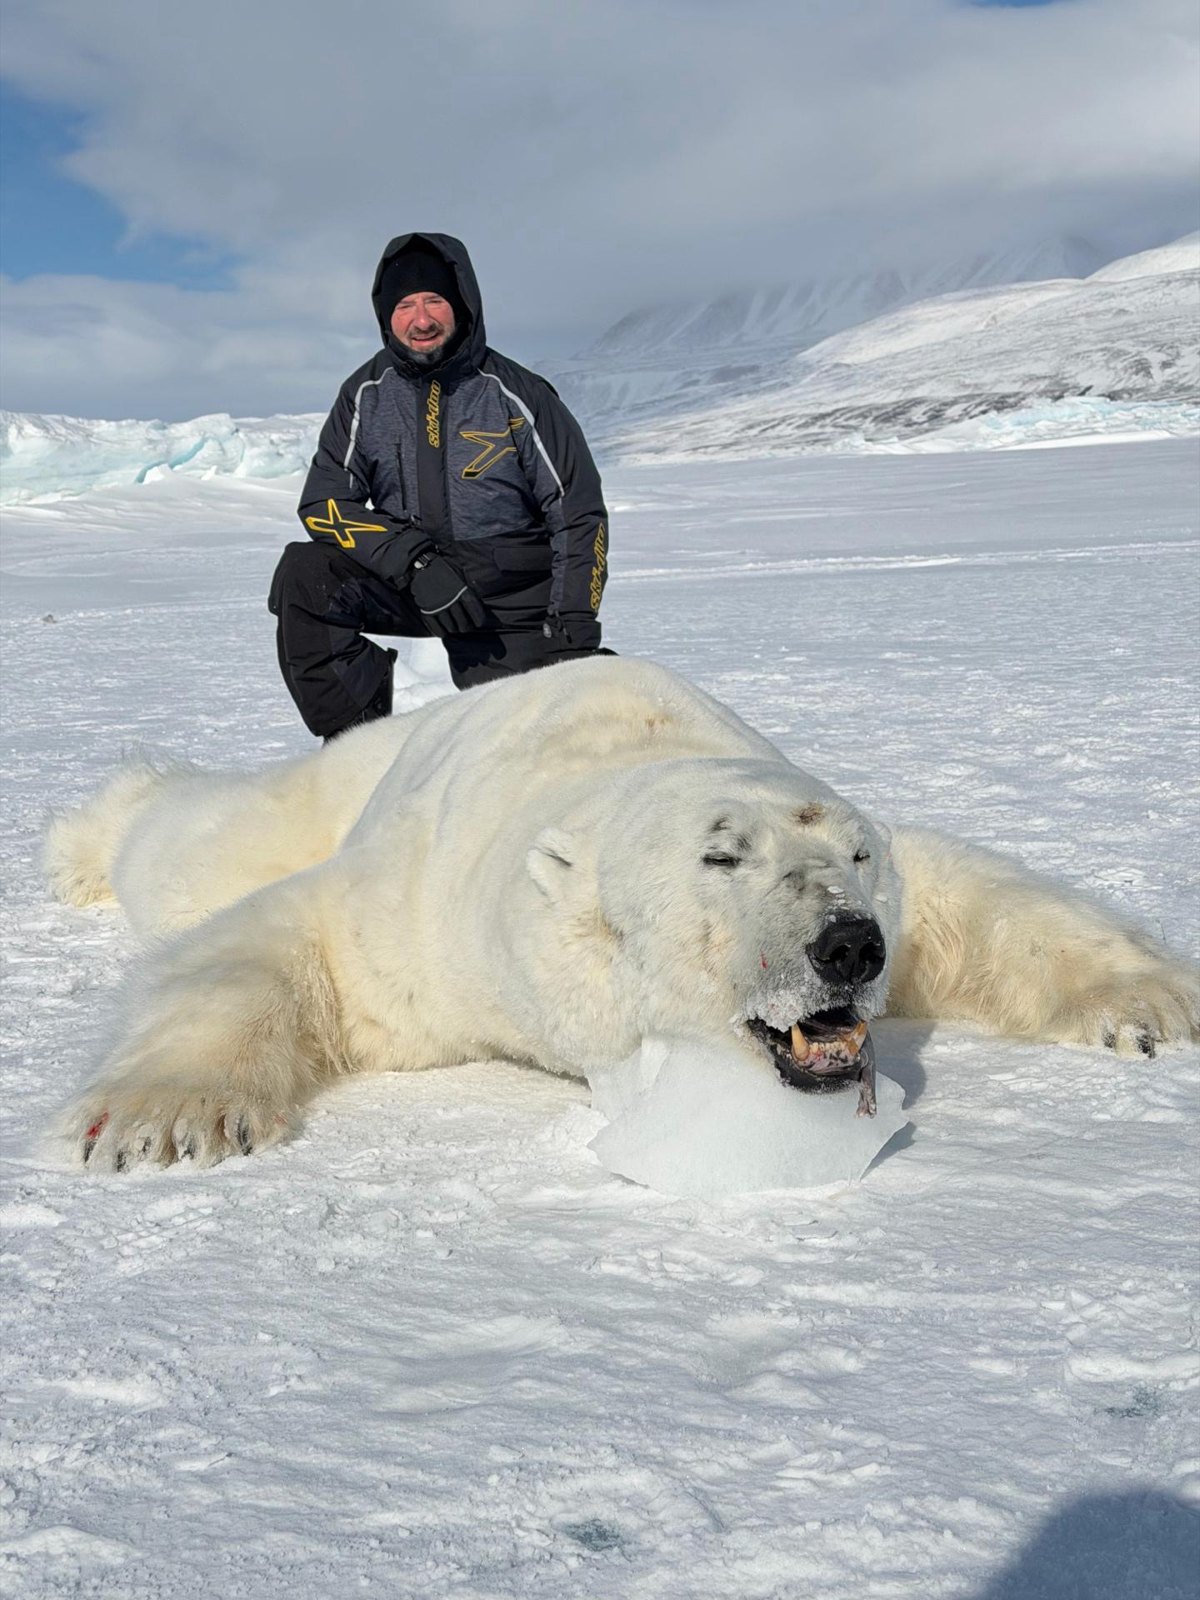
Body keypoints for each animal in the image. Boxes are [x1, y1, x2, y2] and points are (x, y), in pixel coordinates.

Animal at [45, 657, 1199, 1171]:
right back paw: (85, 842)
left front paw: (1155, 1004)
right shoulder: (413, 921)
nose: (848, 945)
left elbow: (969, 896)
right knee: (198, 848)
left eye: (856, 856)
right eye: (722, 854)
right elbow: (270, 944)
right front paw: (162, 1117)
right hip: (335, 789)